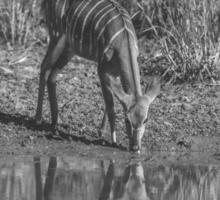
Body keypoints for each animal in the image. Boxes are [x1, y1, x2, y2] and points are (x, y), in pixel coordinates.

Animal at [36, 0, 160, 153]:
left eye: (145, 120)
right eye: (127, 120)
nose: (135, 147)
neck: (123, 41)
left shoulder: (115, 74)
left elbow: (111, 102)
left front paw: (102, 132)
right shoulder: (102, 70)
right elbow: (111, 106)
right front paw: (112, 139)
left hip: (70, 47)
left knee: (52, 75)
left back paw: (56, 121)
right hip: (56, 36)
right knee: (44, 67)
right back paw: (38, 118)